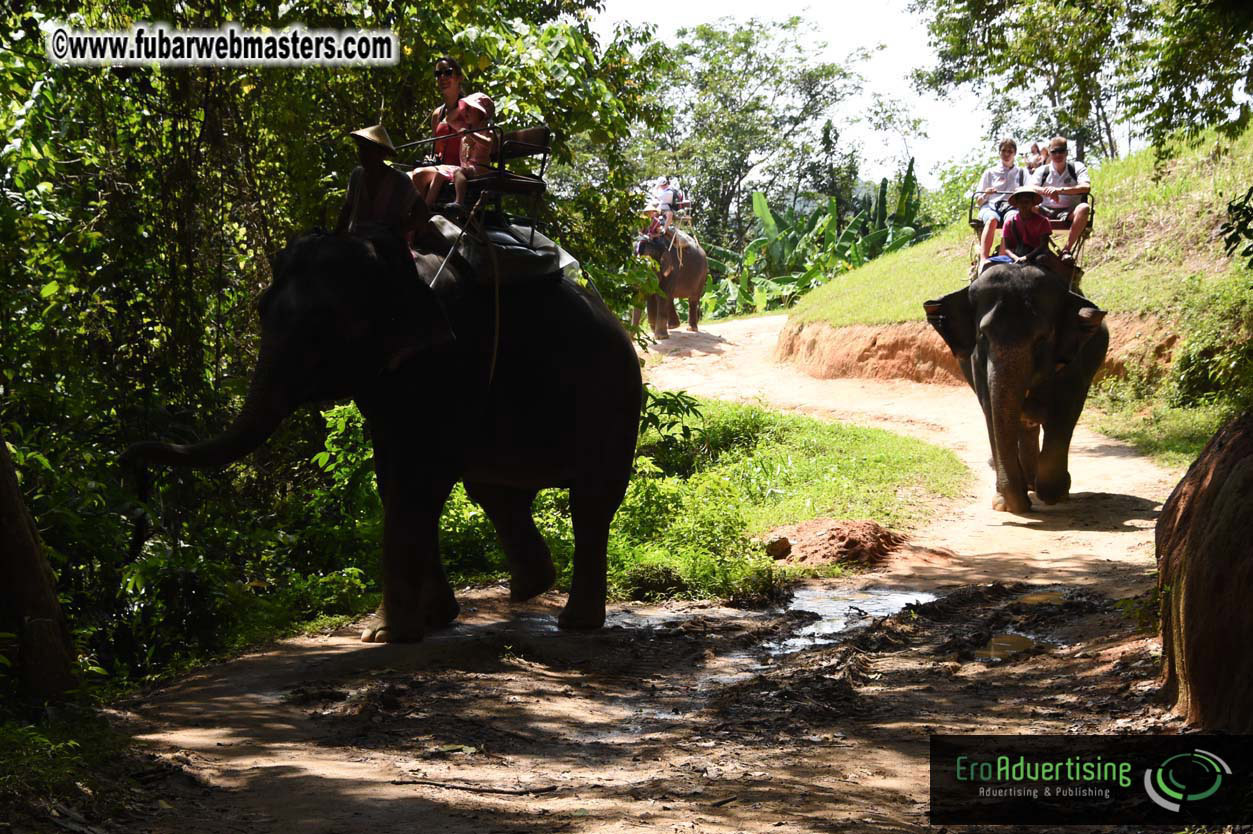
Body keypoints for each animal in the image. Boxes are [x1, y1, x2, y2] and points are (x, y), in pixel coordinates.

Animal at [123, 228, 643, 641]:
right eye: (260, 309)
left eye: (323, 330)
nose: (132, 466)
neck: (398, 268)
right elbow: (393, 477)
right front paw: (428, 621)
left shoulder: (452, 363)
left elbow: (420, 478)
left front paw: (386, 634)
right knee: (495, 491)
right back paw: (531, 586)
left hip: (613, 400)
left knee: (589, 501)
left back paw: (575, 621)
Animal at [924, 263, 1108, 514]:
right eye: (983, 335)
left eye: (1042, 339)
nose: (1019, 506)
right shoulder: (976, 366)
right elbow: (992, 412)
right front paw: (1005, 504)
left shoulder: (1074, 363)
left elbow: (1065, 413)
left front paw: (1054, 493)